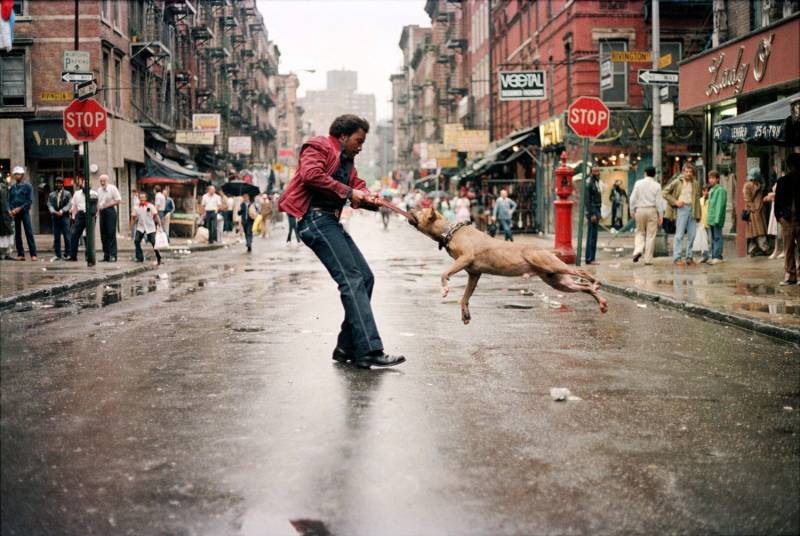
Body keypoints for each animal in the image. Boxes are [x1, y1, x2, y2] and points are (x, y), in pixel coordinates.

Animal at [410, 207, 608, 324]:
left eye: (420, 210)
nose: (409, 208)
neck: (449, 231)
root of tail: (547, 251)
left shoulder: (465, 258)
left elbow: (444, 273)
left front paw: (444, 289)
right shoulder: (474, 274)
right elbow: (465, 297)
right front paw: (465, 314)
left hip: (549, 264)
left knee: (580, 270)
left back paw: (595, 281)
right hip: (557, 281)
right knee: (583, 286)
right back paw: (601, 301)